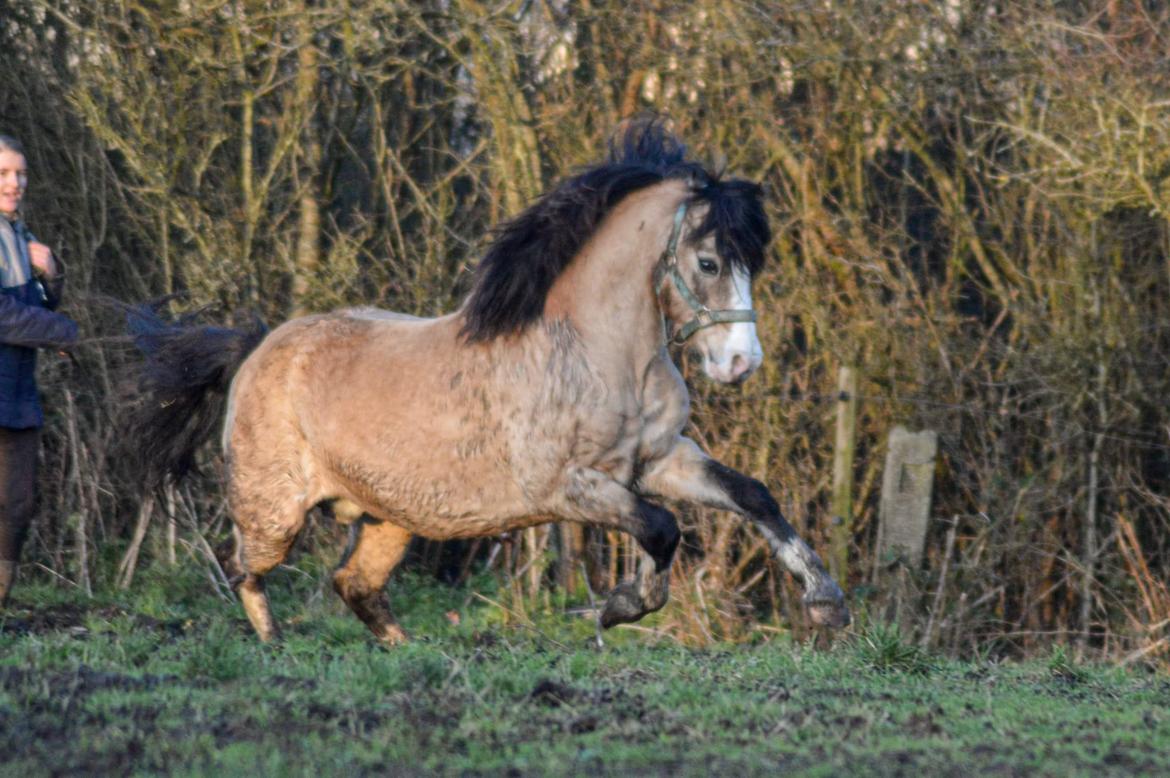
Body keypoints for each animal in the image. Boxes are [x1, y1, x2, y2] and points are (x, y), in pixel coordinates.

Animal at [128, 121, 851, 641]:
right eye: (707, 262)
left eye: (752, 263)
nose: (741, 363)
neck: (599, 354)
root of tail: (260, 348)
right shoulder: (565, 486)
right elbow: (660, 529)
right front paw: (618, 607)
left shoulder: (659, 459)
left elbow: (752, 496)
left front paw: (827, 602)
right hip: (274, 511)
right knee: (244, 571)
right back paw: (275, 646)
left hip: (390, 519)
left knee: (353, 584)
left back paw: (405, 654)